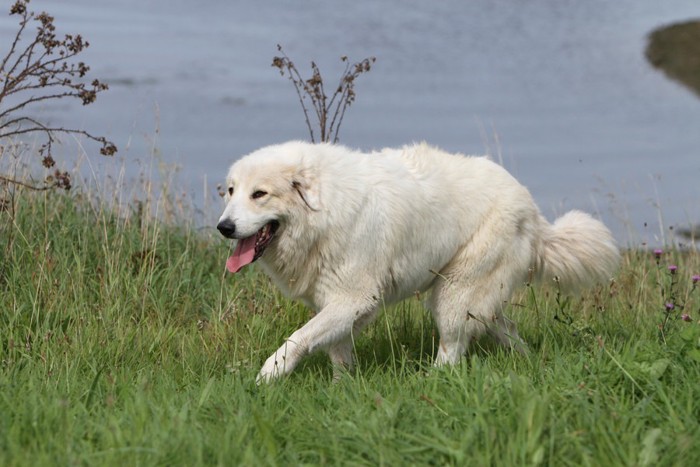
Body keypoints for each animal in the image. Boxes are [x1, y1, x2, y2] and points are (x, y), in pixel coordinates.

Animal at [217, 143, 616, 384]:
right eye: (231, 191)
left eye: (260, 194)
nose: (224, 227)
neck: (322, 209)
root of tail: (533, 211)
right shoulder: (338, 303)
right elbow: (337, 348)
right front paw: (343, 389)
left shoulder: (352, 298)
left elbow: (298, 339)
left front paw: (268, 375)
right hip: (477, 296)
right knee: (505, 327)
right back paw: (527, 361)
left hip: (453, 294)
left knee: (453, 349)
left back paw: (432, 383)